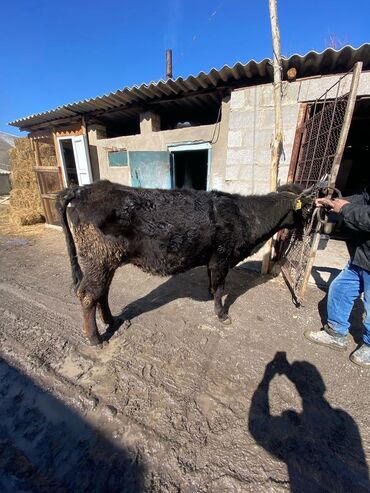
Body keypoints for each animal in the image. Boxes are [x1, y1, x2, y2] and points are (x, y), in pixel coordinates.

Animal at [56, 179, 314, 344]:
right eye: (310, 206)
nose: (314, 229)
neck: (245, 215)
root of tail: (84, 189)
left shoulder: (213, 261)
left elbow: (213, 284)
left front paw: (210, 295)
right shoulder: (222, 258)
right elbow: (220, 288)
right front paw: (221, 315)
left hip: (104, 262)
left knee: (102, 292)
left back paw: (112, 320)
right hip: (98, 258)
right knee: (89, 294)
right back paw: (95, 338)